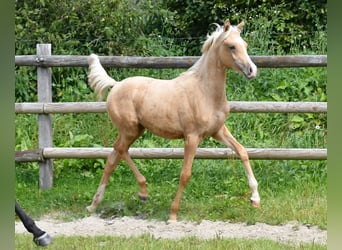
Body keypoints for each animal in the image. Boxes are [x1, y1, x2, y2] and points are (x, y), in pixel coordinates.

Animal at [85, 20, 260, 223]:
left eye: (245, 45)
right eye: (231, 46)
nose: (252, 70)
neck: (205, 92)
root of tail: (116, 85)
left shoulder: (218, 131)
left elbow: (242, 152)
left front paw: (255, 199)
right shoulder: (192, 137)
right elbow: (185, 174)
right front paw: (173, 214)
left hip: (135, 130)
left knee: (113, 157)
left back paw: (95, 204)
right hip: (129, 130)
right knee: (119, 150)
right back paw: (141, 192)